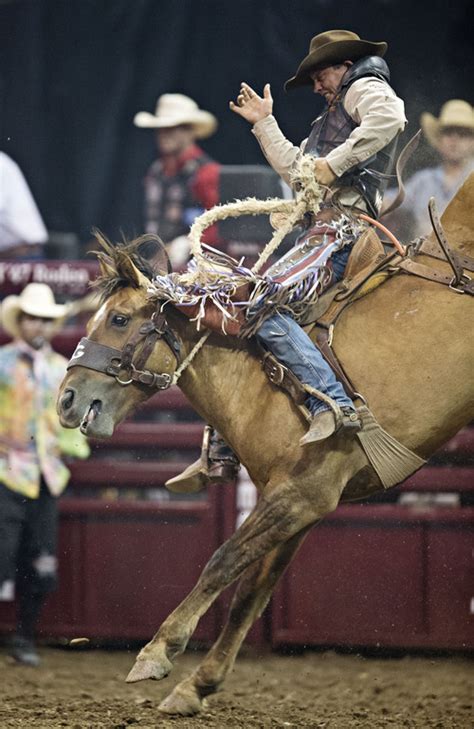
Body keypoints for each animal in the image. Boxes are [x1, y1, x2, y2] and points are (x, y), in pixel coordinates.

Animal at [57, 173, 472, 712]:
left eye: (120, 320)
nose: (66, 400)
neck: (258, 383)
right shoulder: (296, 506)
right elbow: (249, 594)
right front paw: (196, 686)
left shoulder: (302, 492)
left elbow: (222, 561)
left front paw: (157, 652)